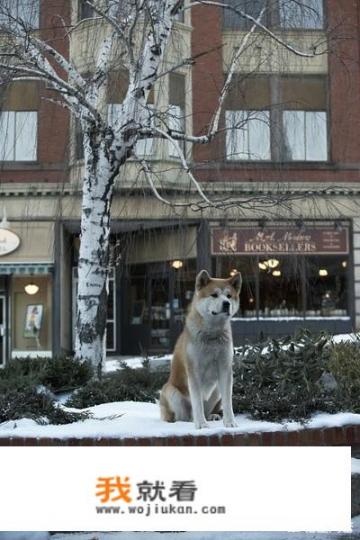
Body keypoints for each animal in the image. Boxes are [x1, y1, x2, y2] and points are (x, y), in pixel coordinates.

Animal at [159, 270, 240, 430]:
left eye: (229, 296)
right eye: (214, 295)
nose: (226, 304)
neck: (212, 336)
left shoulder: (225, 368)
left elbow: (228, 402)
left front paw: (230, 422)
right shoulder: (194, 371)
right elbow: (197, 402)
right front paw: (201, 424)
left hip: (216, 391)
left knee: (208, 409)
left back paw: (212, 416)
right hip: (172, 392)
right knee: (183, 416)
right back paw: (189, 421)